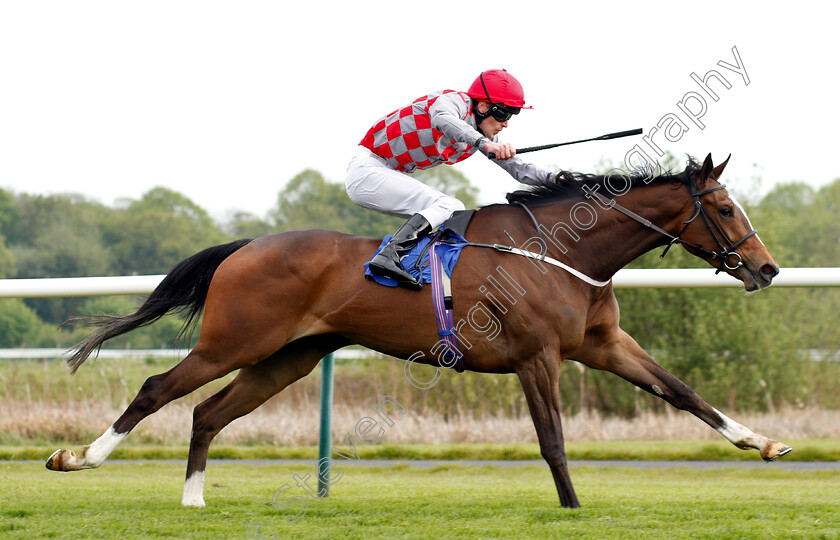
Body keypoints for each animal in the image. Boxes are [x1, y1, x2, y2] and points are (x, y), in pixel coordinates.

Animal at [46, 154, 792, 508]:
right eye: (726, 207)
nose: (767, 267)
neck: (564, 247)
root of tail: (247, 245)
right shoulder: (537, 356)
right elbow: (552, 441)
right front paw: (574, 507)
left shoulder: (601, 345)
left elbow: (683, 392)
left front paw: (763, 442)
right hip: (237, 341)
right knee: (157, 388)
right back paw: (79, 458)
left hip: (288, 357)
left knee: (207, 412)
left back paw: (194, 496)